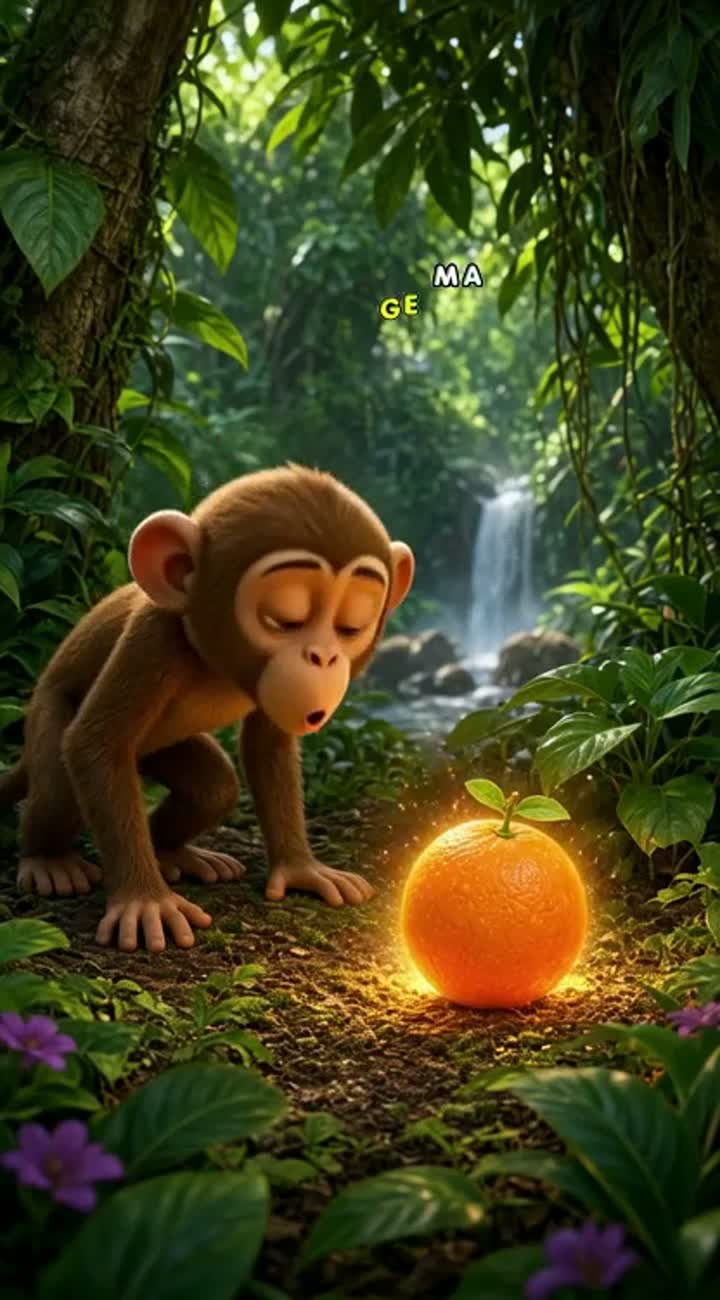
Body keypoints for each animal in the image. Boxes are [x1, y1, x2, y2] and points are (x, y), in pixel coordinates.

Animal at [0, 465, 415, 954]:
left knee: (215, 788)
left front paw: (301, 868)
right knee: (60, 784)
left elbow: (268, 744)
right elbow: (96, 743)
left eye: (351, 626)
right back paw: (48, 859)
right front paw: (145, 900)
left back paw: (173, 852)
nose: (324, 657)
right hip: (45, 714)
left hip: (165, 749)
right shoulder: (153, 640)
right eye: (285, 619)